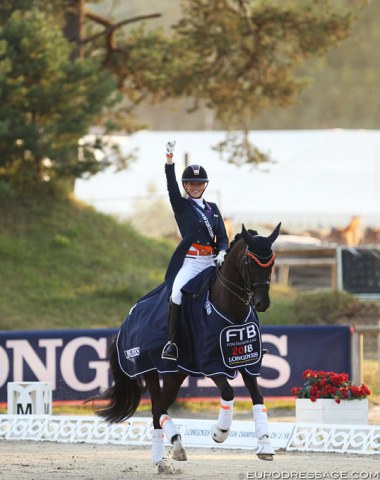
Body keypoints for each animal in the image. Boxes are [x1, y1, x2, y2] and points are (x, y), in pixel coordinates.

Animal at [88, 224, 280, 472]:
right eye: (249, 261)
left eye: (271, 262)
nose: (262, 303)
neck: (229, 307)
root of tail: (126, 321)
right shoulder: (211, 364)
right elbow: (228, 393)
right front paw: (219, 432)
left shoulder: (249, 362)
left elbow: (258, 398)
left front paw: (265, 446)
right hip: (149, 369)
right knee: (156, 409)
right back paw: (170, 450)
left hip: (175, 374)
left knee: (160, 409)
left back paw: (166, 454)